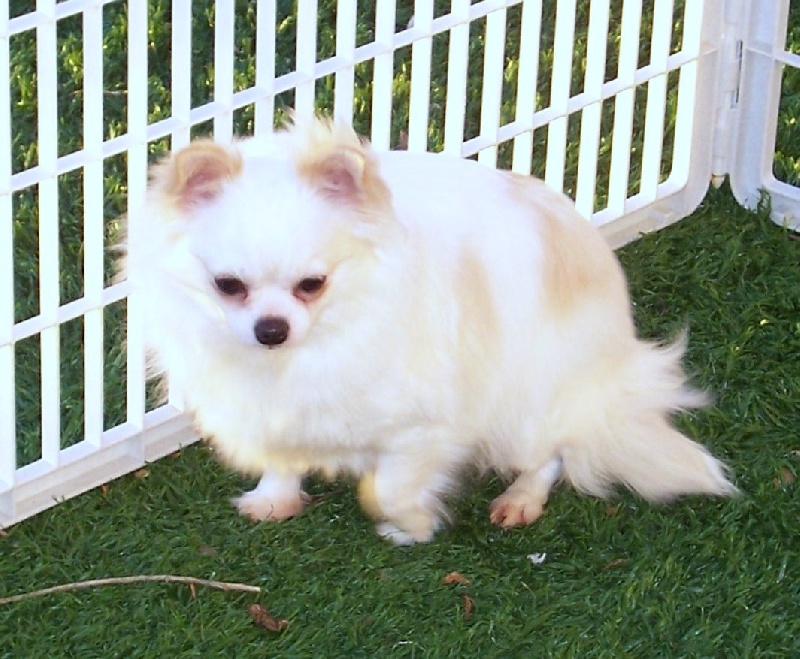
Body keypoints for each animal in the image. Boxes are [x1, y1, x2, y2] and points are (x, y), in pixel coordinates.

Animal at [120, 116, 736, 545]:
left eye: (312, 285)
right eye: (228, 286)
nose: (271, 329)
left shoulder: (425, 426)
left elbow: (392, 489)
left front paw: (408, 527)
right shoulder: (278, 406)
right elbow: (283, 454)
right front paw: (275, 499)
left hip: (531, 399)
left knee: (552, 451)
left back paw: (521, 497)